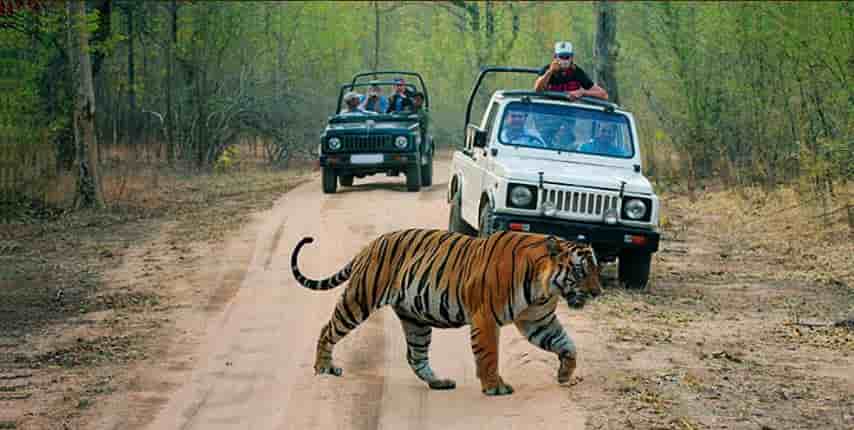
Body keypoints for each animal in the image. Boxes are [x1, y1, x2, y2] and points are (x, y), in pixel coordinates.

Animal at [290, 228, 604, 396]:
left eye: (596, 269)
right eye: (581, 271)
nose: (598, 292)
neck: (544, 287)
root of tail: (371, 244)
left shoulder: (539, 321)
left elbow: (567, 345)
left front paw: (566, 375)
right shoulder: (486, 319)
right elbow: (489, 355)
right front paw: (495, 387)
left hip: (415, 320)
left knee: (415, 356)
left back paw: (439, 382)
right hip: (359, 299)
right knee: (328, 329)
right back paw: (324, 367)